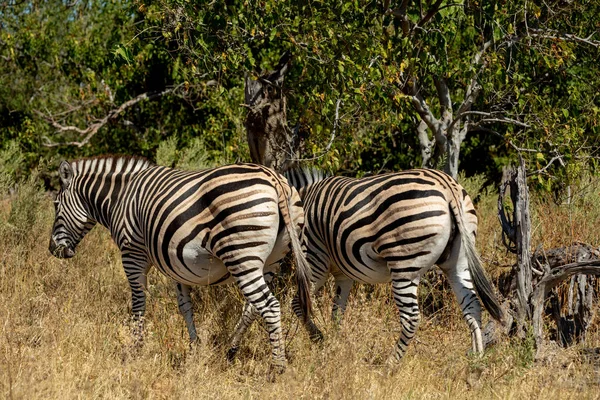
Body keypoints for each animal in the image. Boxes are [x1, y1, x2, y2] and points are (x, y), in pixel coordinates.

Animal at [48, 156, 310, 372]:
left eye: (56, 205)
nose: (53, 250)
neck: (120, 199)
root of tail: (274, 178)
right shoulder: (176, 264)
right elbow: (185, 307)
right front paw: (194, 346)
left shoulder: (132, 255)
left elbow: (138, 304)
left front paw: (135, 348)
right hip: (271, 261)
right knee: (252, 307)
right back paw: (230, 351)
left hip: (241, 254)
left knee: (269, 306)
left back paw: (277, 368)